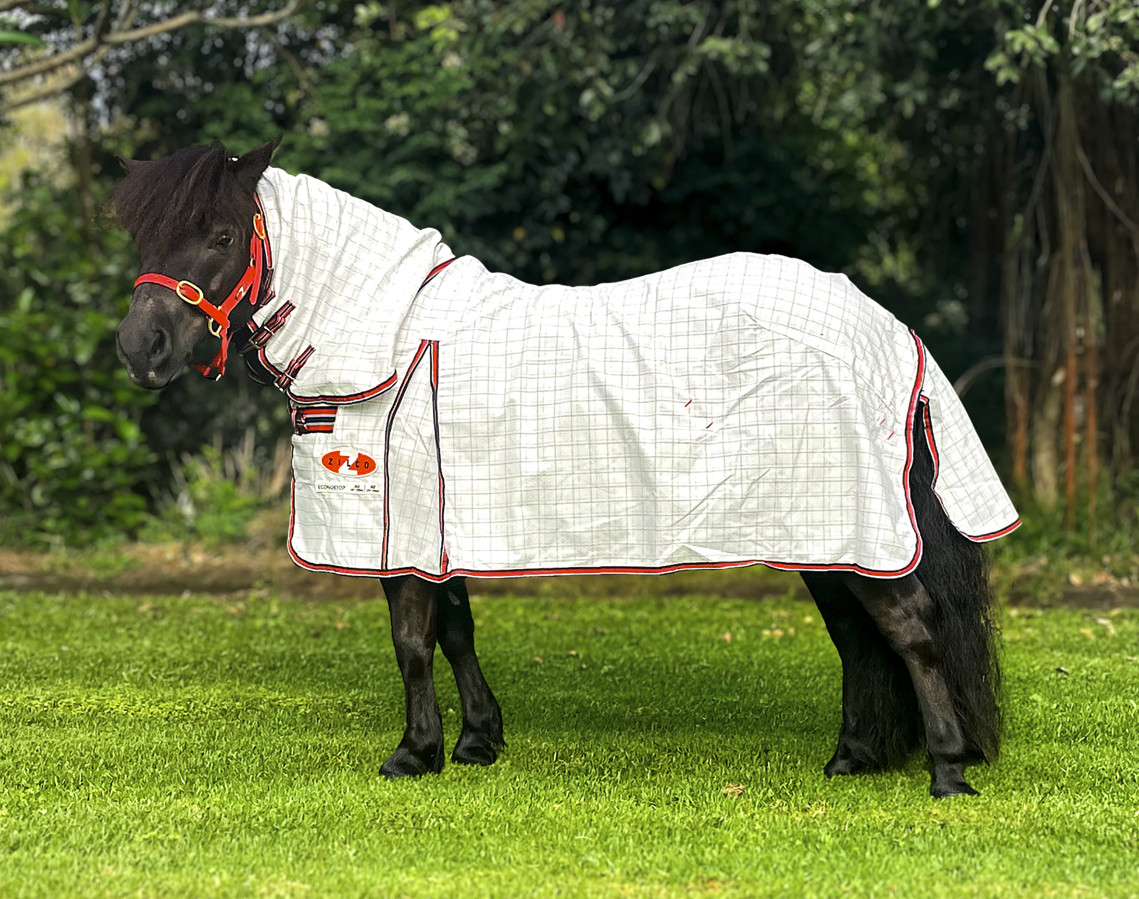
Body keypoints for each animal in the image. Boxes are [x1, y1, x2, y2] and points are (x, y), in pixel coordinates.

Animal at [108, 138, 1019, 798]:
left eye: (221, 235)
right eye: (145, 236)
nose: (139, 349)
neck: (395, 336)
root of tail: (886, 327)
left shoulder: (400, 525)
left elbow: (411, 639)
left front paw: (414, 752)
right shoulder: (441, 525)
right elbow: (456, 628)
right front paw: (477, 740)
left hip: (853, 524)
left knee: (910, 626)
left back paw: (945, 770)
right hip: (825, 530)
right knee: (860, 636)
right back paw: (854, 757)